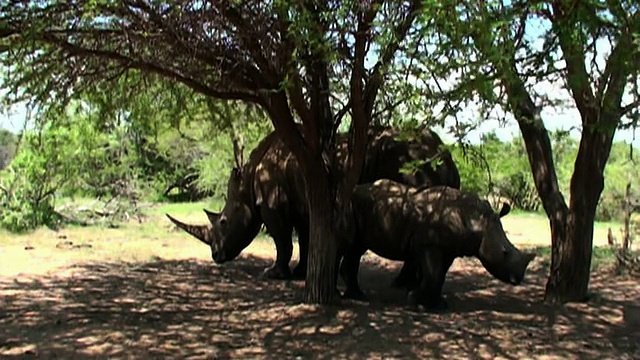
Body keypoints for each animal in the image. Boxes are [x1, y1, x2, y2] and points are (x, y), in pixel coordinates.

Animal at [342, 179, 536, 310]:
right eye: (504, 252)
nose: (518, 279)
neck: (479, 222)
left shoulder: (449, 248)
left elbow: (440, 275)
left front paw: (438, 305)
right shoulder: (428, 243)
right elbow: (434, 273)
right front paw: (415, 301)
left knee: (356, 249)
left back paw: (357, 295)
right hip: (350, 204)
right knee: (350, 245)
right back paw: (355, 296)